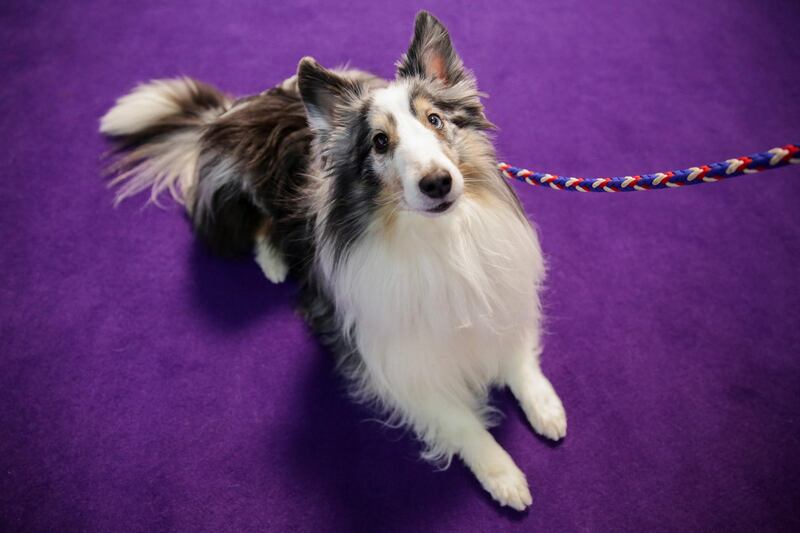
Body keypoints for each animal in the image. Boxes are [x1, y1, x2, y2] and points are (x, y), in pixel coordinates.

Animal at [101, 10, 564, 510]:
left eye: (435, 119)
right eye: (379, 142)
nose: (438, 183)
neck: (438, 238)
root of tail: (234, 108)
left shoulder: (501, 298)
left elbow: (517, 356)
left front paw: (547, 409)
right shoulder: (391, 360)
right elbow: (459, 419)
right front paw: (504, 476)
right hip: (245, 187)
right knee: (261, 225)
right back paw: (275, 263)